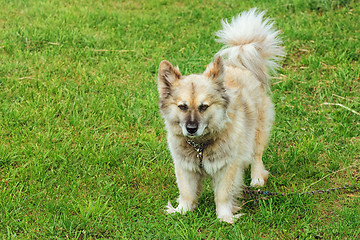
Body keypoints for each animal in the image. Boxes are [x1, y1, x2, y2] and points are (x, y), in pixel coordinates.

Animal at [157, 8, 284, 223]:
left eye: (204, 107)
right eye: (182, 107)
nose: (191, 129)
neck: (200, 146)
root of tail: (242, 66)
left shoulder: (227, 167)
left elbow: (223, 195)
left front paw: (225, 217)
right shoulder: (184, 167)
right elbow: (187, 192)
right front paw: (182, 211)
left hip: (257, 131)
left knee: (256, 155)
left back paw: (257, 178)